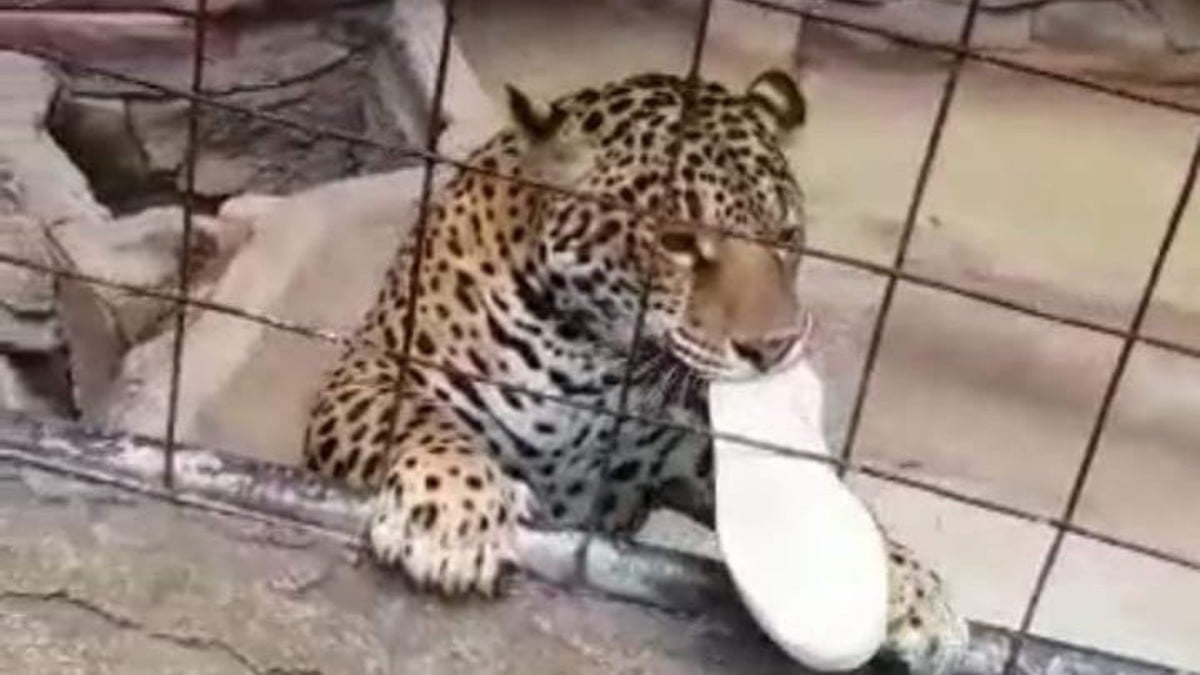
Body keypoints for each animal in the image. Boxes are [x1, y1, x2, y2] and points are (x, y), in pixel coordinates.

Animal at [302, 68, 968, 674]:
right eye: (677, 242)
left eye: (786, 234)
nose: (775, 346)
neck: (595, 358)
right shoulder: (365, 375)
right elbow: (420, 422)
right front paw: (456, 518)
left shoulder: (691, 456)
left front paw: (909, 589)